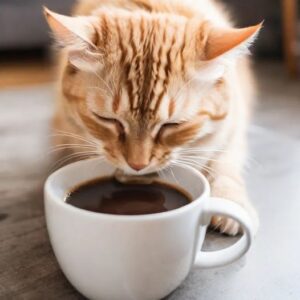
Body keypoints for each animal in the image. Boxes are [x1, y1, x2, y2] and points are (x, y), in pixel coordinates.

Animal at [43, 0, 262, 234]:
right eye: (109, 120)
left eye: (172, 125)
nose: (137, 165)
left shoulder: (233, 131)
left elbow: (224, 165)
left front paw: (230, 202)